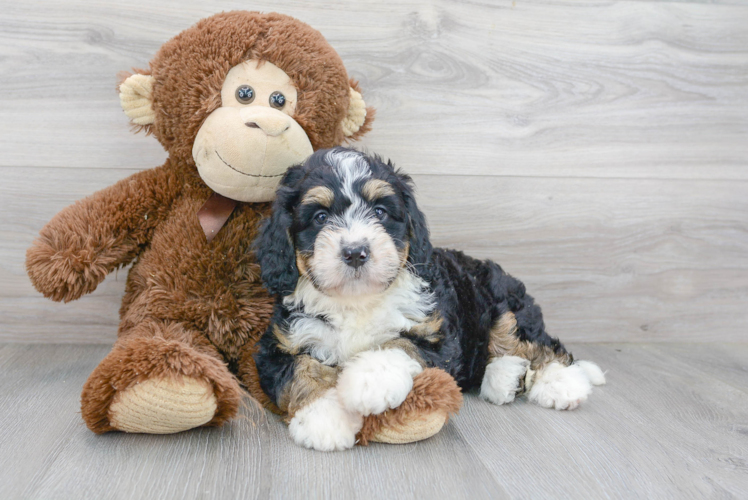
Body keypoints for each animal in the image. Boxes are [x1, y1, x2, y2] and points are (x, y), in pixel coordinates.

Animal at [254, 146, 604, 452]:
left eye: (380, 212)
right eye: (320, 217)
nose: (355, 252)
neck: (357, 300)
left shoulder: (437, 335)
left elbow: (400, 343)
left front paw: (369, 380)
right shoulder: (278, 344)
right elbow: (299, 370)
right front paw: (324, 418)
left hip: (503, 301)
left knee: (539, 344)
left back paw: (561, 383)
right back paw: (505, 378)